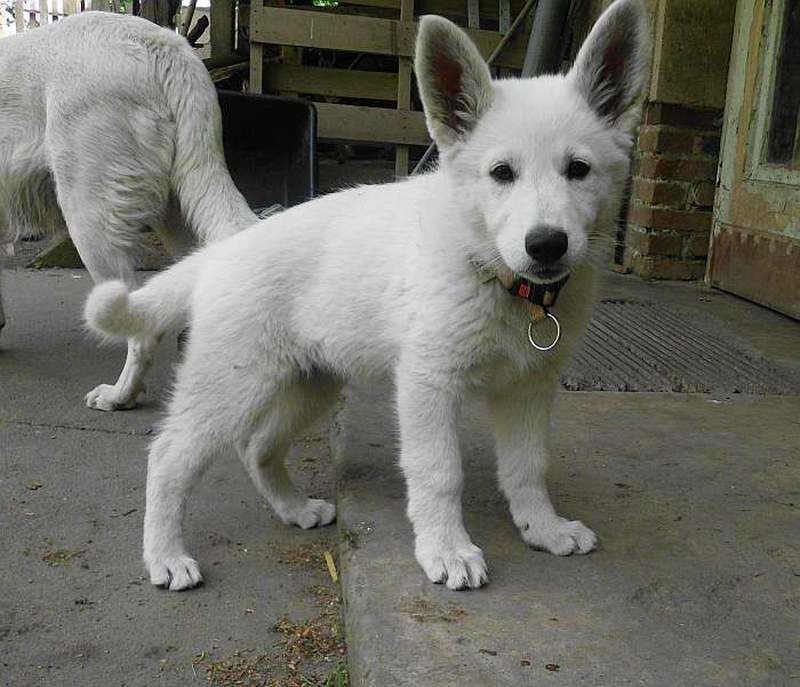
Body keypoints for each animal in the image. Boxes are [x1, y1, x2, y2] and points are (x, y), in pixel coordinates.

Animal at [86, 0, 648, 592]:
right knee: (169, 457)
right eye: (501, 173)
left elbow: (528, 467)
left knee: (257, 447)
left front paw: (544, 528)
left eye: (578, 170)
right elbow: (438, 472)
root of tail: (223, 249)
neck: (495, 274)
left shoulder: (529, 389)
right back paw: (165, 555)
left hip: (313, 382)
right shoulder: (427, 383)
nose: (545, 245)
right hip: (230, 383)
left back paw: (294, 509)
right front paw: (446, 550)